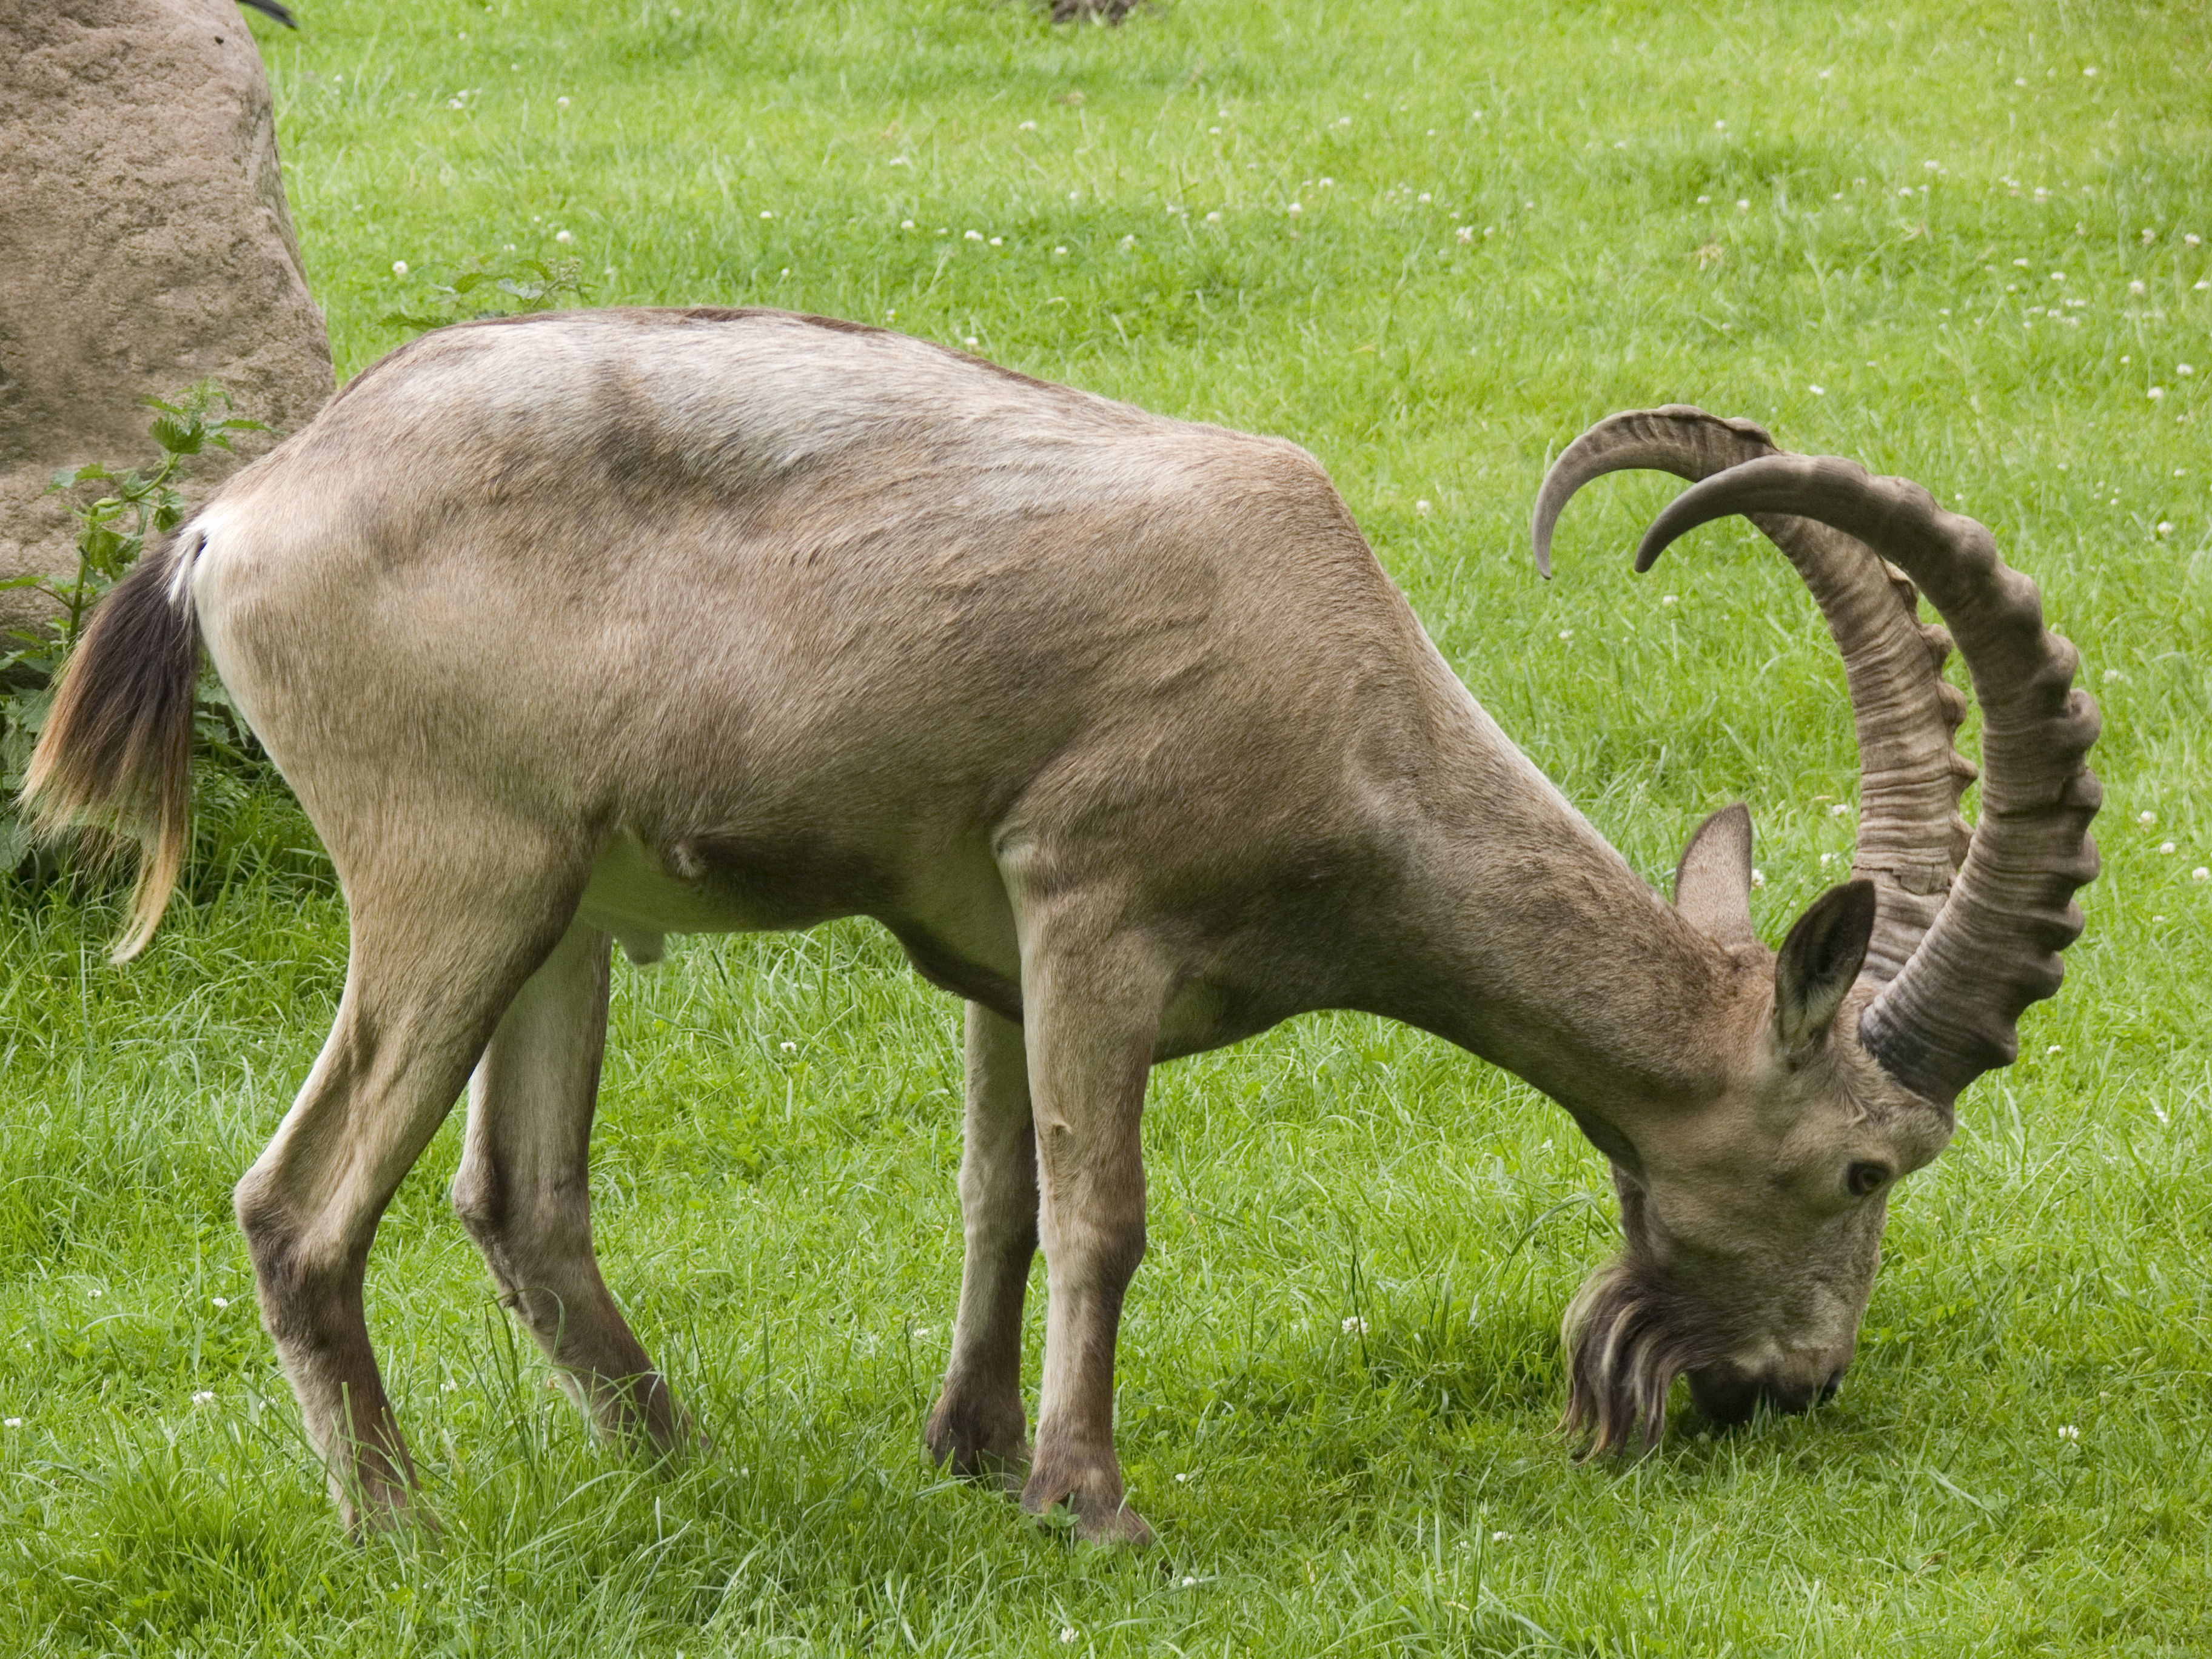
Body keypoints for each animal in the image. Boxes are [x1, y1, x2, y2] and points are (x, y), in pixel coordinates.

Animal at [25, 312, 2097, 1548]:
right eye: (1864, 1166)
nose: (1788, 1389)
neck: (1344, 694)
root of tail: (229, 528)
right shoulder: (1094, 906)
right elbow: (1108, 1213)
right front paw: (1088, 1501)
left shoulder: (992, 954)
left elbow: (1001, 1198)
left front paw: (963, 1448)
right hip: (454, 877)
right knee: (301, 1208)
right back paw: (402, 1531)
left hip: (567, 913)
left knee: (519, 1202)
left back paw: (690, 1472)